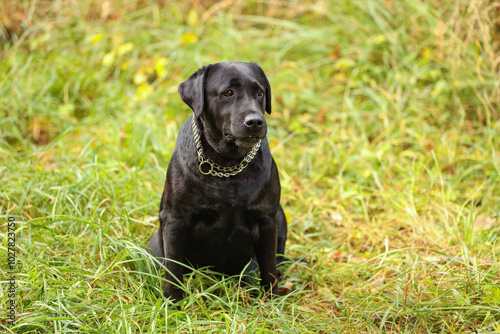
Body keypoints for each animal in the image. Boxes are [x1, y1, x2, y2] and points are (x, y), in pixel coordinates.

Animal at [148, 60, 288, 302]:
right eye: (228, 92)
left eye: (260, 92)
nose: (255, 121)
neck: (228, 166)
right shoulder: (175, 219)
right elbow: (174, 268)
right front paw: (173, 303)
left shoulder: (267, 219)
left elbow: (269, 266)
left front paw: (272, 301)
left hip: (281, 217)